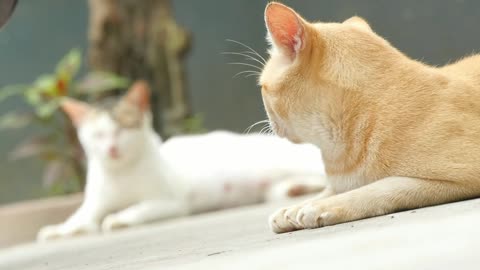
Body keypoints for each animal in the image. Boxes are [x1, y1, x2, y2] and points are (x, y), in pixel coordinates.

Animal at [37, 81, 326, 242]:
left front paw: (119, 218)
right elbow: (80, 219)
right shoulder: (93, 204)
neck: (121, 173)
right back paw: (298, 190)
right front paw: (59, 229)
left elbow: (138, 208)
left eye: (123, 130)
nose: (111, 149)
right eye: (97, 135)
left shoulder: (168, 202)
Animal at [260, 2, 480, 233]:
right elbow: (331, 190)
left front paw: (319, 207)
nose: (269, 122)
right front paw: (293, 208)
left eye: (262, 89)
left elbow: (380, 187)